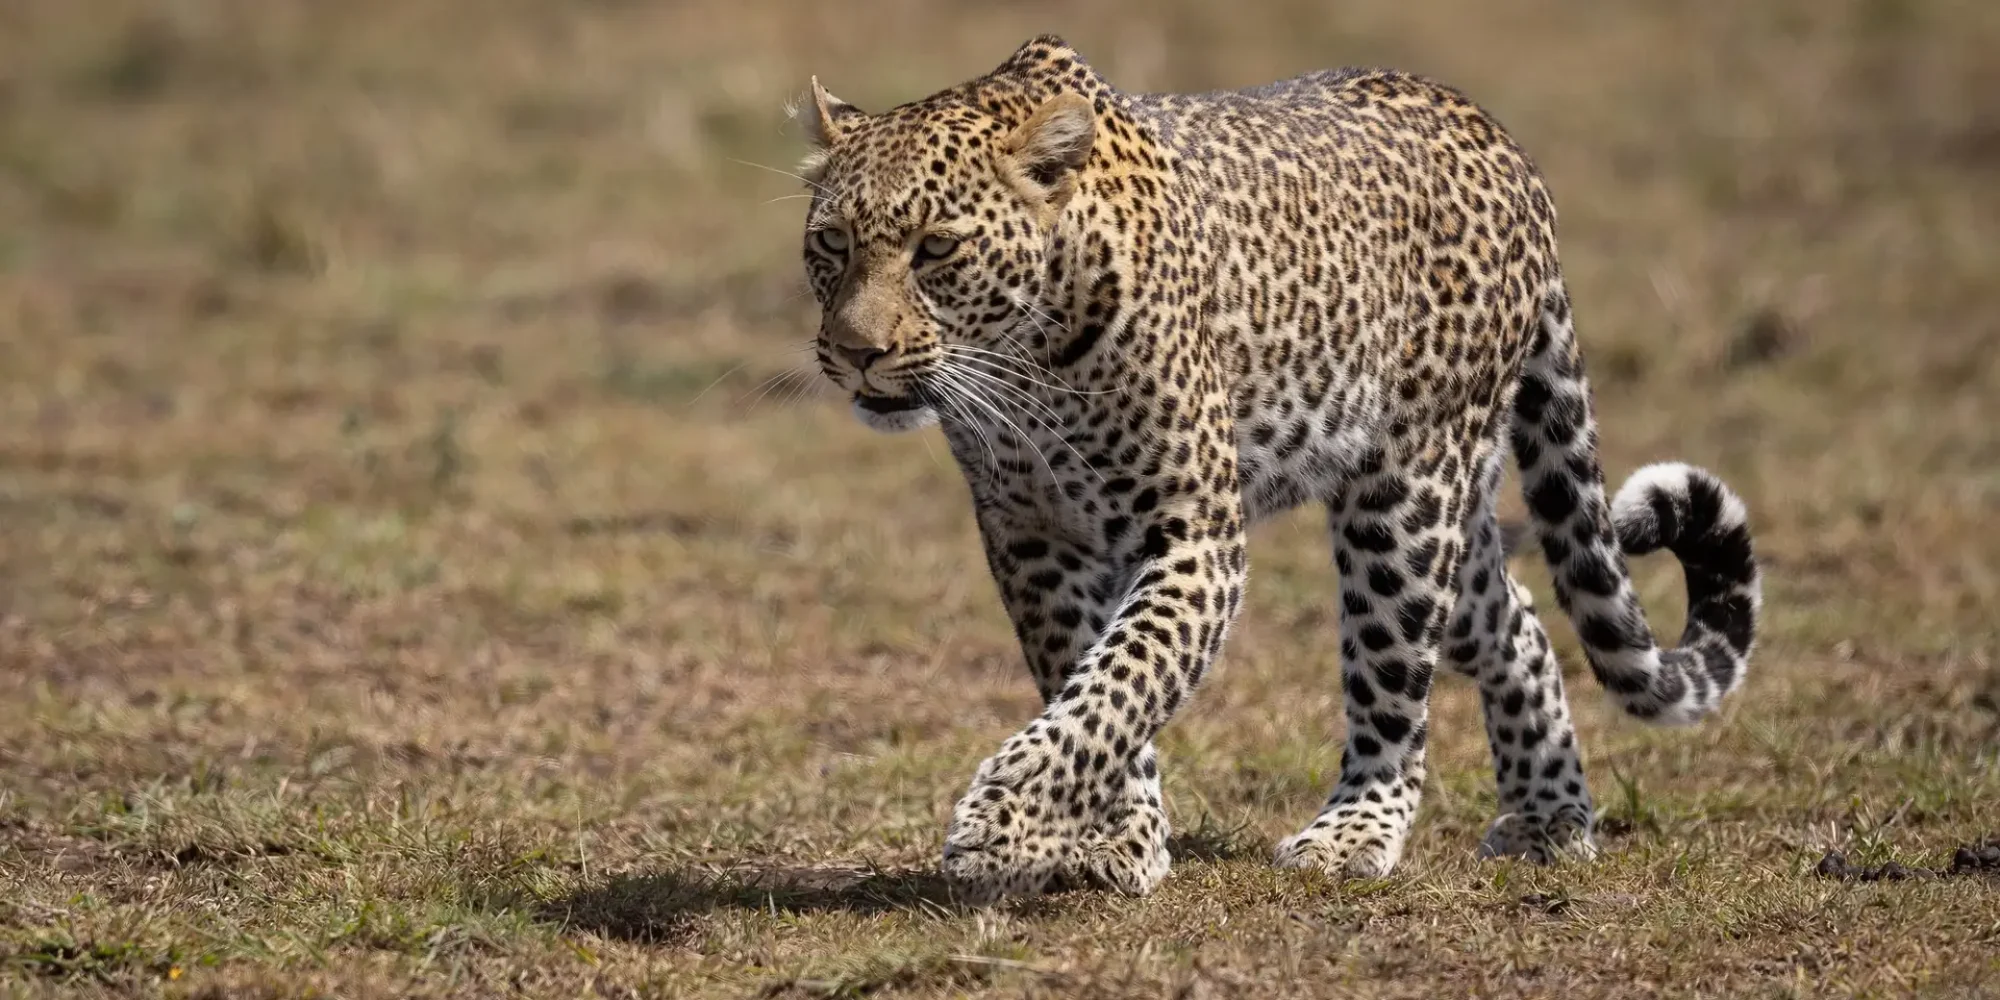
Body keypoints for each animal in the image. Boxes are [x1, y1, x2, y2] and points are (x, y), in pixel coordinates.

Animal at [789, 35, 1761, 904]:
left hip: (1404, 499)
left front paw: (1002, 824)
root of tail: (1498, 135)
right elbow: (1085, 677)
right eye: (831, 244)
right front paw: (1114, 838)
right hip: (1448, 509)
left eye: (936, 249)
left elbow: (1120, 681)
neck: (1028, 359)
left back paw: (1355, 833)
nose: (857, 353)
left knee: (1394, 686)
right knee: (1513, 618)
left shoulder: (1193, 533)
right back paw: (1550, 818)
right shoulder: (1031, 535)